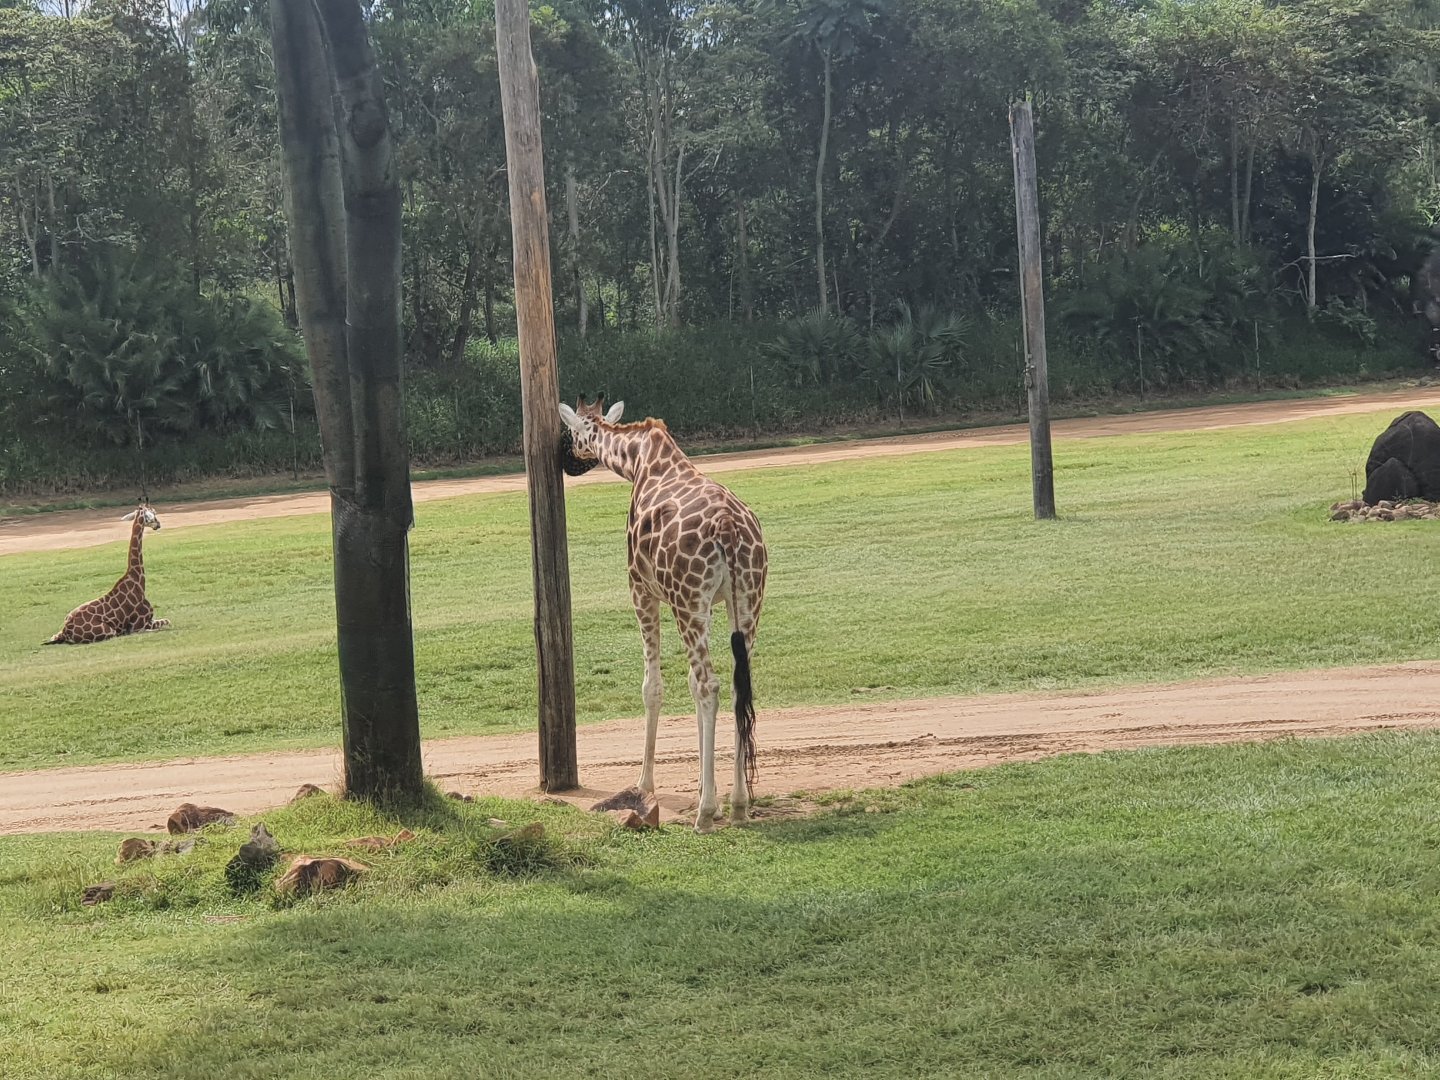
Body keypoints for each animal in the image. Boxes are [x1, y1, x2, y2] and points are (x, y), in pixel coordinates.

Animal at [43, 503, 171, 645]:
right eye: (152, 514)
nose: (158, 524)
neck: (137, 580)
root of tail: (67, 631)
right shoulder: (139, 624)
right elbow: (163, 624)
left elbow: (167, 621)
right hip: (110, 631)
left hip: (62, 626)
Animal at [559, 396, 768, 833]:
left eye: (571, 431)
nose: (564, 460)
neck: (640, 459)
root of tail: (730, 532)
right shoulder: (709, 604)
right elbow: (688, 683)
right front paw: (712, 792)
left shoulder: (642, 589)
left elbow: (653, 687)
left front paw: (645, 784)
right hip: (747, 601)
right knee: (737, 684)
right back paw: (739, 804)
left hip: (689, 600)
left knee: (710, 685)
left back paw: (704, 816)